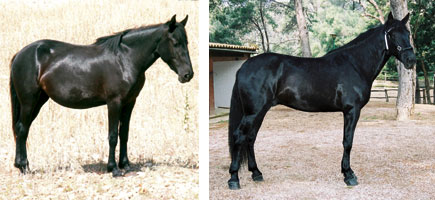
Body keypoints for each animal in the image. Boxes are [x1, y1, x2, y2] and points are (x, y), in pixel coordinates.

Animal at [9, 14, 194, 176]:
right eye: (175, 42)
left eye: (187, 42)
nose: (188, 75)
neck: (125, 59)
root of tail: (19, 54)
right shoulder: (114, 103)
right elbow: (112, 136)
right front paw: (113, 169)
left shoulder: (129, 102)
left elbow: (124, 133)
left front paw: (126, 165)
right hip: (29, 102)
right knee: (22, 129)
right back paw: (24, 167)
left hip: (38, 101)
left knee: (21, 129)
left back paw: (22, 165)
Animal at [227, 12, 418, 189]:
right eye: (391, 34)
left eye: (407, 33)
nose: (411, 60)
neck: (355, 64)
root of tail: (243, 67)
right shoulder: (352, 110)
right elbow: (348, 141)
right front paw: (349, 175)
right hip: (253, 113)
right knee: (239, 136)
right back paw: (234, 179)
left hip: (259, 112)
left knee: (250, 138)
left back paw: (256, 173)